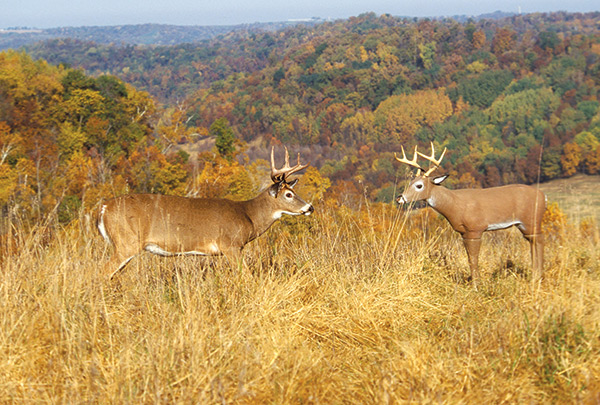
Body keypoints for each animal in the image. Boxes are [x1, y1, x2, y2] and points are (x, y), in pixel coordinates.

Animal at [98, 147, 314, 280]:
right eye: (288, 194)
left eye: (294, 191)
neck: (248, 215)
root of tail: (103, 208)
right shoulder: (230, 245)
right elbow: (246, 275)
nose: (309, 208)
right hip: (126, 242)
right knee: (102, 272)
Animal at [396, 144, 548, 286]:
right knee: (533, 241)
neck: (455, 204)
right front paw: (474, 283)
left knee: (539, 239)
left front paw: (476, 286)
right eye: (410, 182)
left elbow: (474, 258)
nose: (399, 198)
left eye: (419, 185)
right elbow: (469, 257)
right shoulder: (464, 233)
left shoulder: (475, 229)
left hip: (531, 219)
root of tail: (543, 196)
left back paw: (537, 279)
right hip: (523, 224)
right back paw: (536, 277)